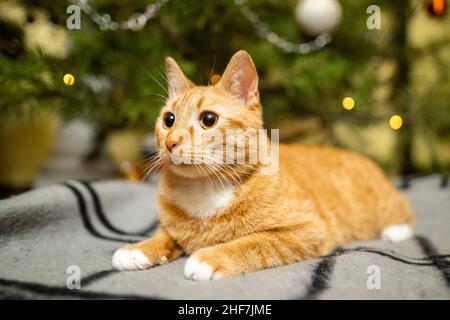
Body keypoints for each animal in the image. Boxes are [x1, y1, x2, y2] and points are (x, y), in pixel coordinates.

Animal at [112, 50, 414, 280]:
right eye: (169, 120)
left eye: (208, 119)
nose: (171, 141)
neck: (205, 191)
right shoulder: (172, 228)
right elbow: (164, 235)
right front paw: (138, 248)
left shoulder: (307, 230)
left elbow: (254, 242)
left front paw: (210, 257)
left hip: (388, 206)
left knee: (406, 215)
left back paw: (396, 231)